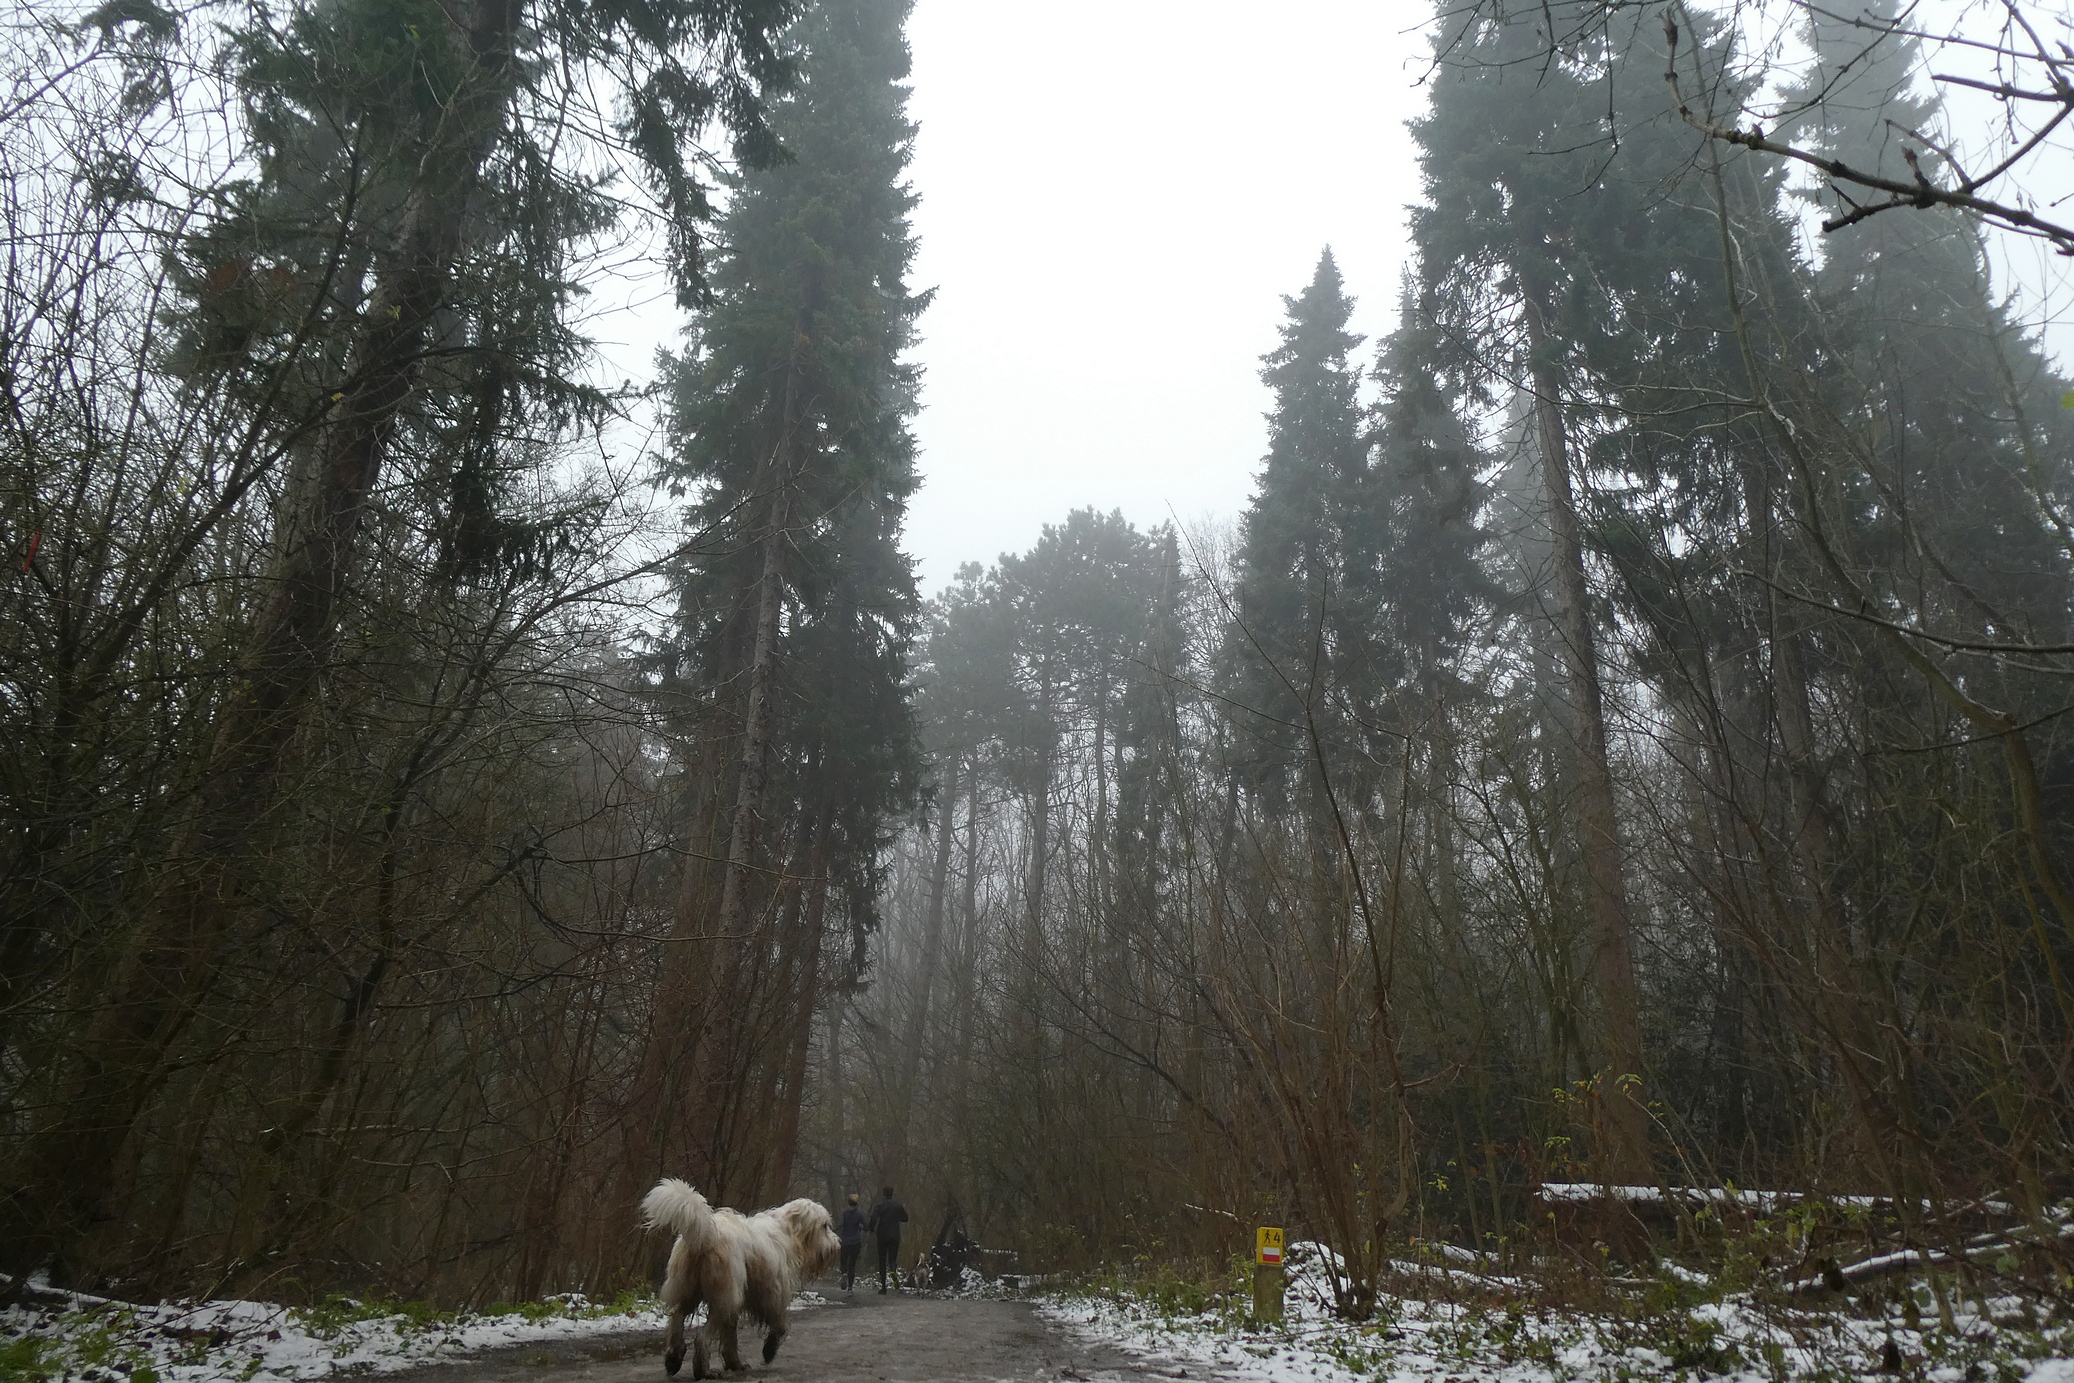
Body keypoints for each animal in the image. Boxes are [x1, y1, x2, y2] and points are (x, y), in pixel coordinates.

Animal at [647, 1177, 842, 1376]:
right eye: (824, 1226)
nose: (837, 1245)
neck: (788, 1231)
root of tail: (708, 1234)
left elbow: (730, 1337)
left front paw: (735, 1363)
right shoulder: (773, 1293)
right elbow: (779, 1324)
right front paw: (769, 1349)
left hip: (687, 1289)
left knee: (676, 1321)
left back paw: (673, 1359)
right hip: (725, 1298)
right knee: (701, 1336)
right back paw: (704, 1371)